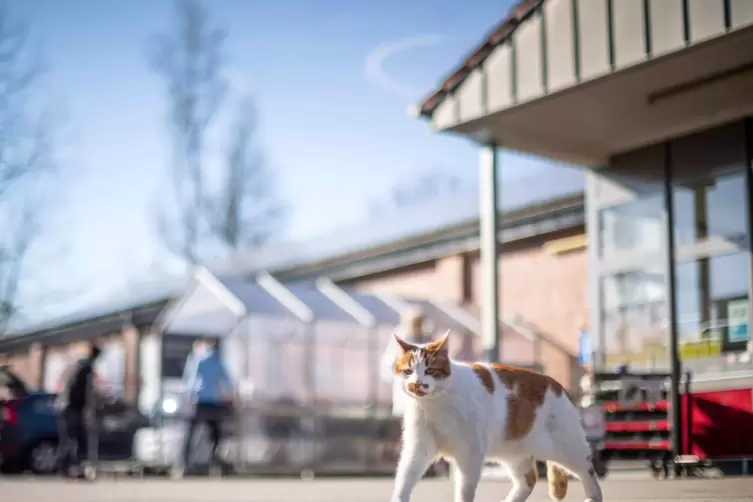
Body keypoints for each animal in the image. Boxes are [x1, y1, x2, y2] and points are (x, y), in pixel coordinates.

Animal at [390, 330, 604, 502]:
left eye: (430, 370)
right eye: (408, 371)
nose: (416, 384)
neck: (433, 404)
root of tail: (559, 386)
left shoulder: (470, 454)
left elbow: (464, 490)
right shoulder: (418, 448)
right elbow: (404, 479)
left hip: (568, 449)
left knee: (588, 470)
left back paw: (593, 496)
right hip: (514, 452)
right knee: (528, 480)